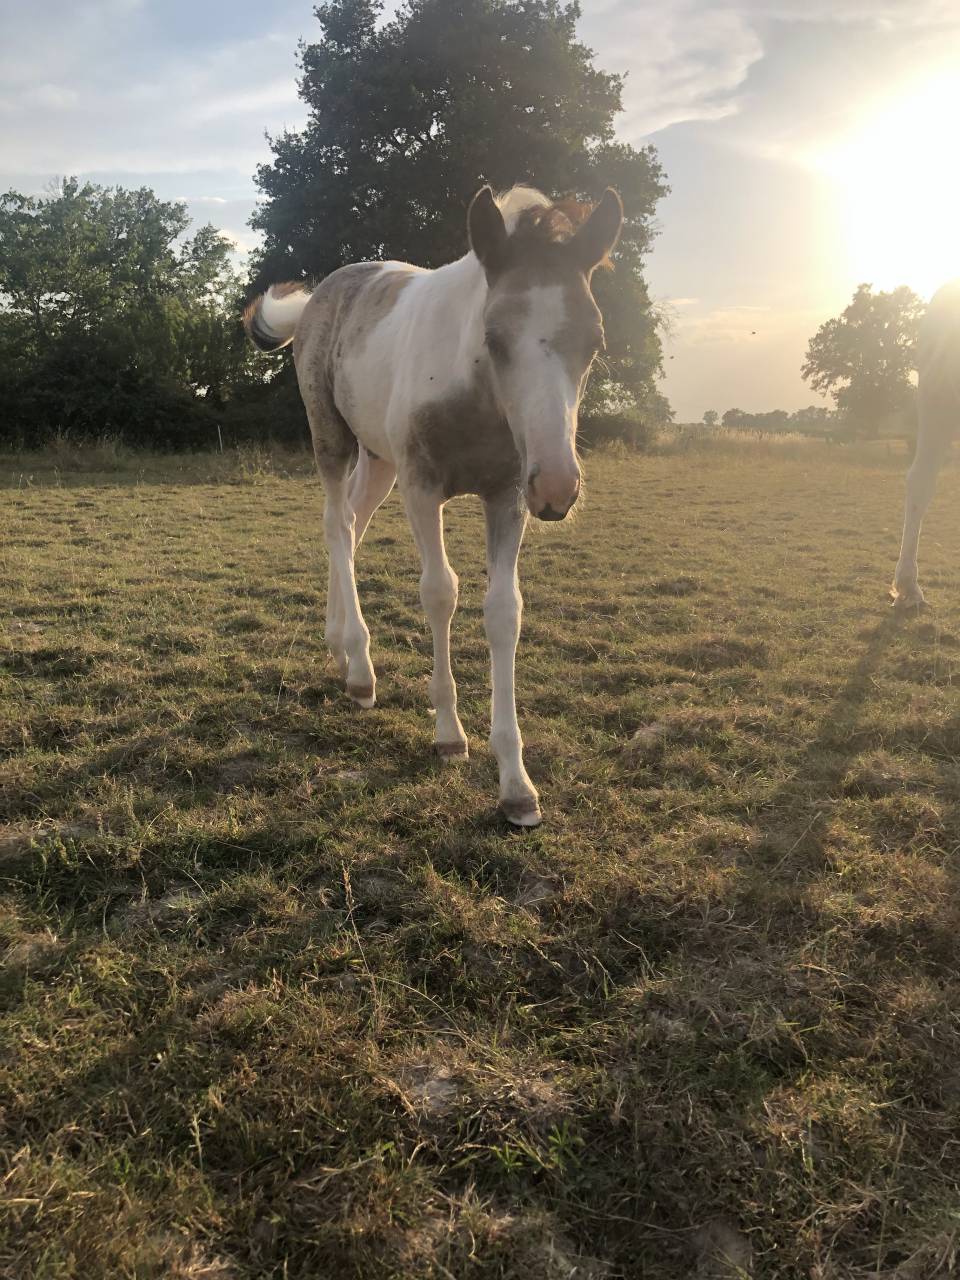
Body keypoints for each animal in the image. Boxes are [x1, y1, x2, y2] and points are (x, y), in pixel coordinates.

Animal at [244, 184, 623, 825]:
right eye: (494, 338)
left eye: (594, 342)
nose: (557, 489)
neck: (474, 394)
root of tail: (321, 291)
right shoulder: (422, 487)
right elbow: (440, 592)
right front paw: (449, 734)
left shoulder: (506, 494)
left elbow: (504, 611)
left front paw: (516, 784)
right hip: (333, 438)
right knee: (335, 524)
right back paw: (360, 670)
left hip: (379, 458)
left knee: (353, 523)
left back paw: (339, 644)